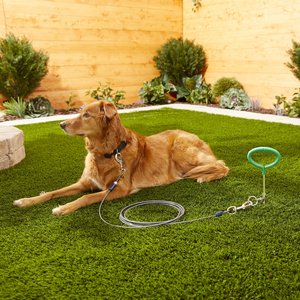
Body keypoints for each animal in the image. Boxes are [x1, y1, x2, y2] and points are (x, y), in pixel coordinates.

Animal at [13, 101, 230, 216]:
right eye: (79, 112)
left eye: (86, 115)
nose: (61, 124)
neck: (106, 153)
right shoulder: (84, 183)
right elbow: (52, 192)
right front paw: (27, 200)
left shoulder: (118, 189)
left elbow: (86, 197)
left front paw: (63, 208)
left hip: (182, 149)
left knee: (222, 165)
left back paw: (205, 176)